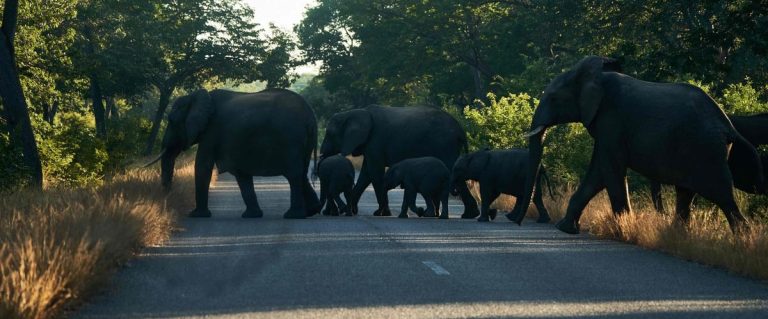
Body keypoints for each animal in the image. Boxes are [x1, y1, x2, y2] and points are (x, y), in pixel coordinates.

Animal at [147, 88, 320, 220]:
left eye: (171, 120)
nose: (166, 199)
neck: (197, 96)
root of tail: (311, 116)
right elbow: (241, 174)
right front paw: (251, 216)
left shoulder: (212, 131)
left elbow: (203, 165)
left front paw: (196, 215)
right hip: (303, 143)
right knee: (301, 173)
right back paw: (310, 212)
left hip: (290, 139)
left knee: (294, 175)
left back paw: (293, 216)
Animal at [316, 106, 474, 219]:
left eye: (329, 134)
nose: (326, 212)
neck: (354, 112)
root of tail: (461, 131)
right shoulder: (370, 144)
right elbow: (366, 174)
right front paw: (353, 211)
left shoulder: (376, 141)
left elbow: (374, 172)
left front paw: (381, 213)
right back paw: (468, 215)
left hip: (444, 145)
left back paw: (467, 215)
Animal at [516, 56, 760, 234]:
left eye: (553, 98)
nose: (516, 221)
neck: (595, 76)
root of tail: (728, 125)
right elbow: (599, 173)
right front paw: (566, 229)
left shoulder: (611, 120)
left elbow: (610, 169)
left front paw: (623, 230)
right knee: (686, 193)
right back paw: (676, 236)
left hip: (705, 151)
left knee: (722, 195)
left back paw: (742, 241)